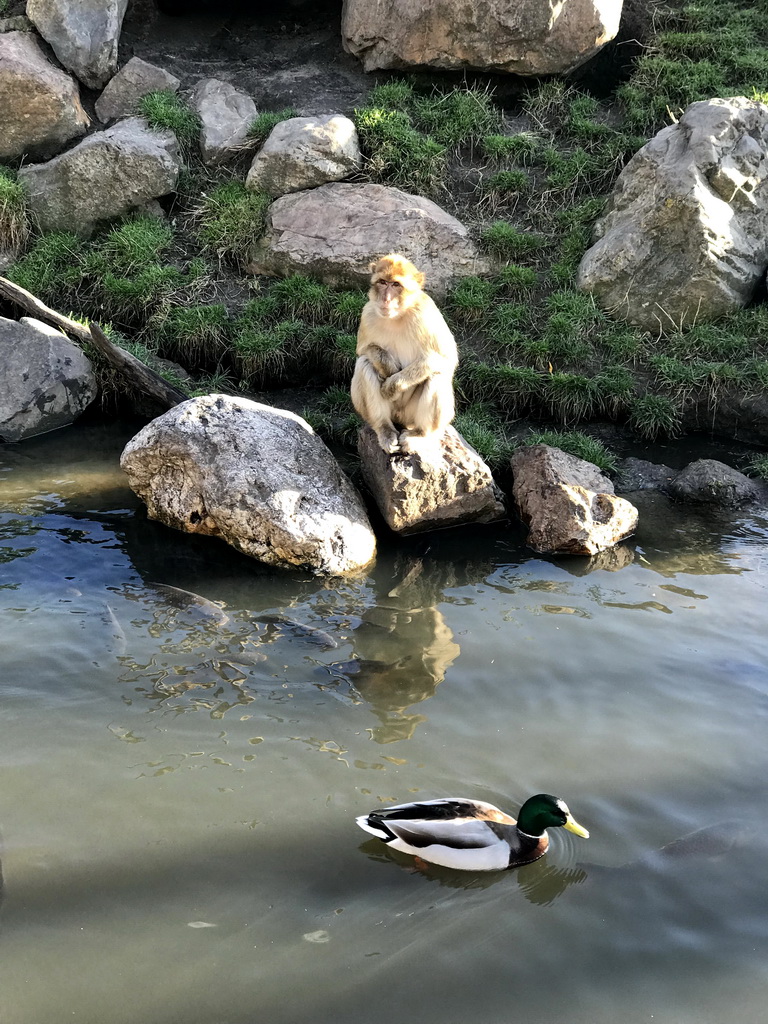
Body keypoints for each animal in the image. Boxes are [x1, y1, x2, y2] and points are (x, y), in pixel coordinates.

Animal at [350, 253, 456, 454]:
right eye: (382, 282)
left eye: (396, 285)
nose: (385, 299)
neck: (397, 316)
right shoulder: (367, 314)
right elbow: (364, 350)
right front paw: (388, 367)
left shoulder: (426, 313)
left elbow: (446, 358)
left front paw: (392, 386)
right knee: (364, 363)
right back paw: (384, 429)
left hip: (411, 416)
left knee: (437, 374)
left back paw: (420, 435)